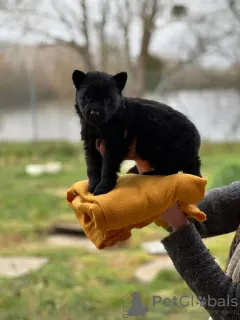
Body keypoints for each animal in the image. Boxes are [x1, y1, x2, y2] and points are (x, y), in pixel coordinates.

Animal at [72, 70, 202, 195]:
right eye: (87, 98)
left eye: (107, 100)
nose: (95, 113)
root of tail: (195, 134)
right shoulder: (91, 145)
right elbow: (92, 167)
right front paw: (93, 185)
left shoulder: (115, 145)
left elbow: (107, 167)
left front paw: (103, 187)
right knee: (170, 170)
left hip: (174, 153)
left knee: (187, 168)